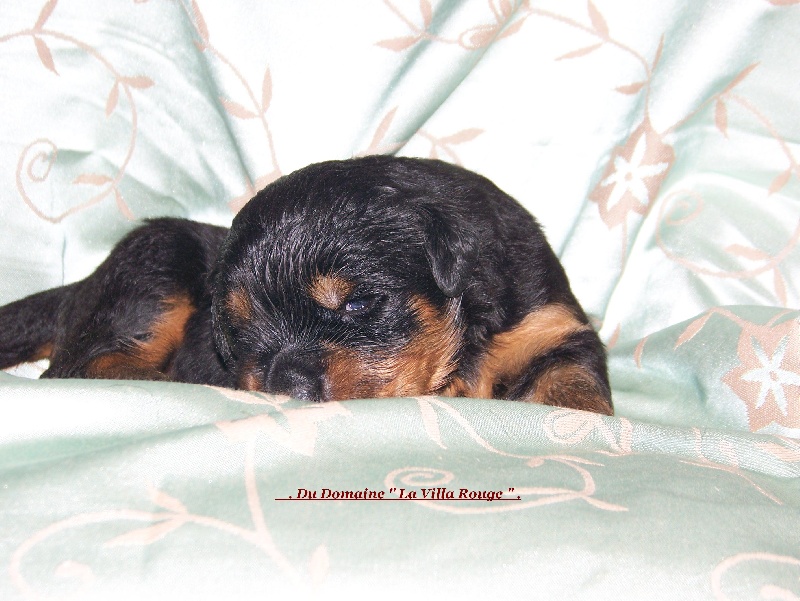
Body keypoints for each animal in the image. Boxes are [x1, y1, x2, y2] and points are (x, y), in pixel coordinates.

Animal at [0, 156, 613, 414]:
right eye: (240, 329)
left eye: (359, 303)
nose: (286, 384)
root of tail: (79, 287)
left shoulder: (552, 325)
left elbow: (576, 389)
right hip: (156, 262)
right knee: (83, 364)